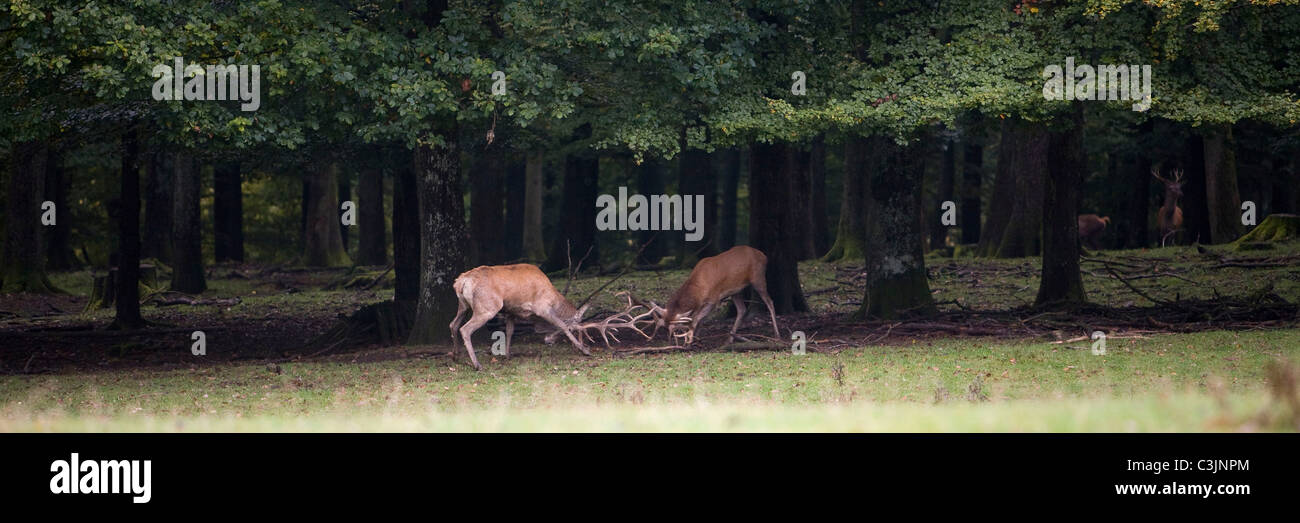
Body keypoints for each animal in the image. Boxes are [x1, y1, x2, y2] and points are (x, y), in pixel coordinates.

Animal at [629, 245, 780, 346]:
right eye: (665, 328)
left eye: (675, 328)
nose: (670, 341)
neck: (699, 288)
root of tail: (764, 256)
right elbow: (700, 319)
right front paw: (696, 338)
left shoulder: (714, 299)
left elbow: (696, 318)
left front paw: (690, 340)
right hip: (736, 291)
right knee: (742, 309)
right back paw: (729, 339)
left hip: (758, 278)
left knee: (770, 302)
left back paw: (777, 334)